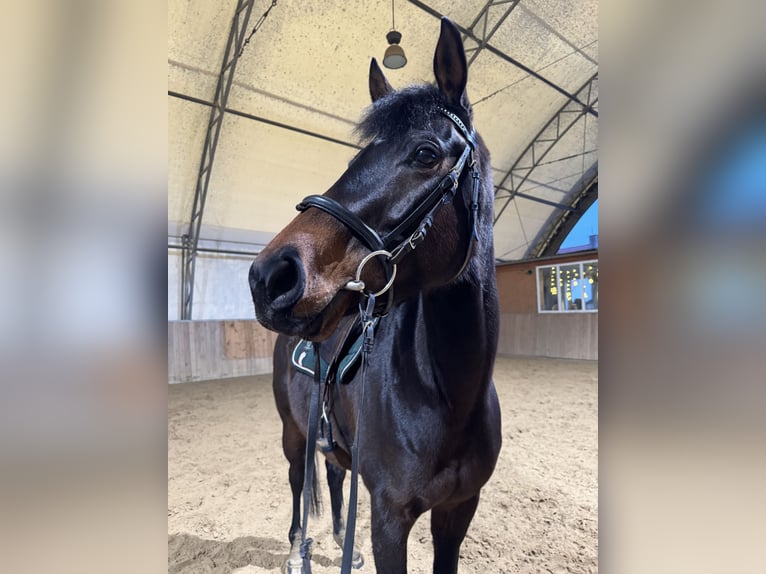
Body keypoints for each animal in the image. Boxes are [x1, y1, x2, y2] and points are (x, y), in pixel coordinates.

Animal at [249, 18, 504, 574]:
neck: (447, 397)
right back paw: (297, 550)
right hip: (292, 434)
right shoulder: (390, 519)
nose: (270, 276)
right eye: (355, 159)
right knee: (298, 483)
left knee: (335, 474)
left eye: (426, 153)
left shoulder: (458, 511)